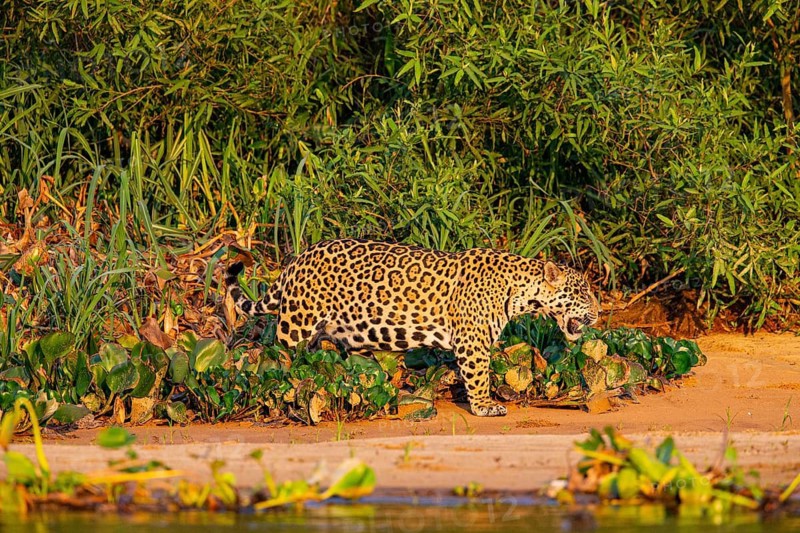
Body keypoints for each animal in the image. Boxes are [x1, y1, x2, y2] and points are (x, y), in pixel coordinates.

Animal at [225, 238, 599, 416]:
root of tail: (296, 259)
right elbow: (478, 375)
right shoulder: (472, 343)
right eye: (582, 293)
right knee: (276, 361)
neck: (520, 291)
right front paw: (484, 406)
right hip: (296, 327)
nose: (599, 313)